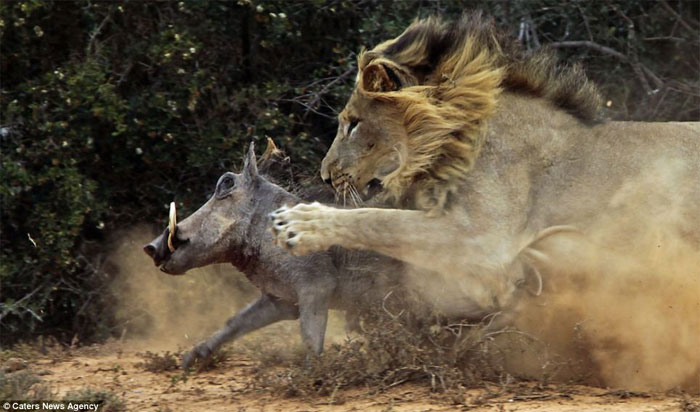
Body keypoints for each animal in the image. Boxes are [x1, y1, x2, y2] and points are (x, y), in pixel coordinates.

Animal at [271, 13, 700, 389]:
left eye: (353, 123)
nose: (325, 176)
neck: (455, 139)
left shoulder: (484, 241)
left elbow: (378, 221)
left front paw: (297, 224)